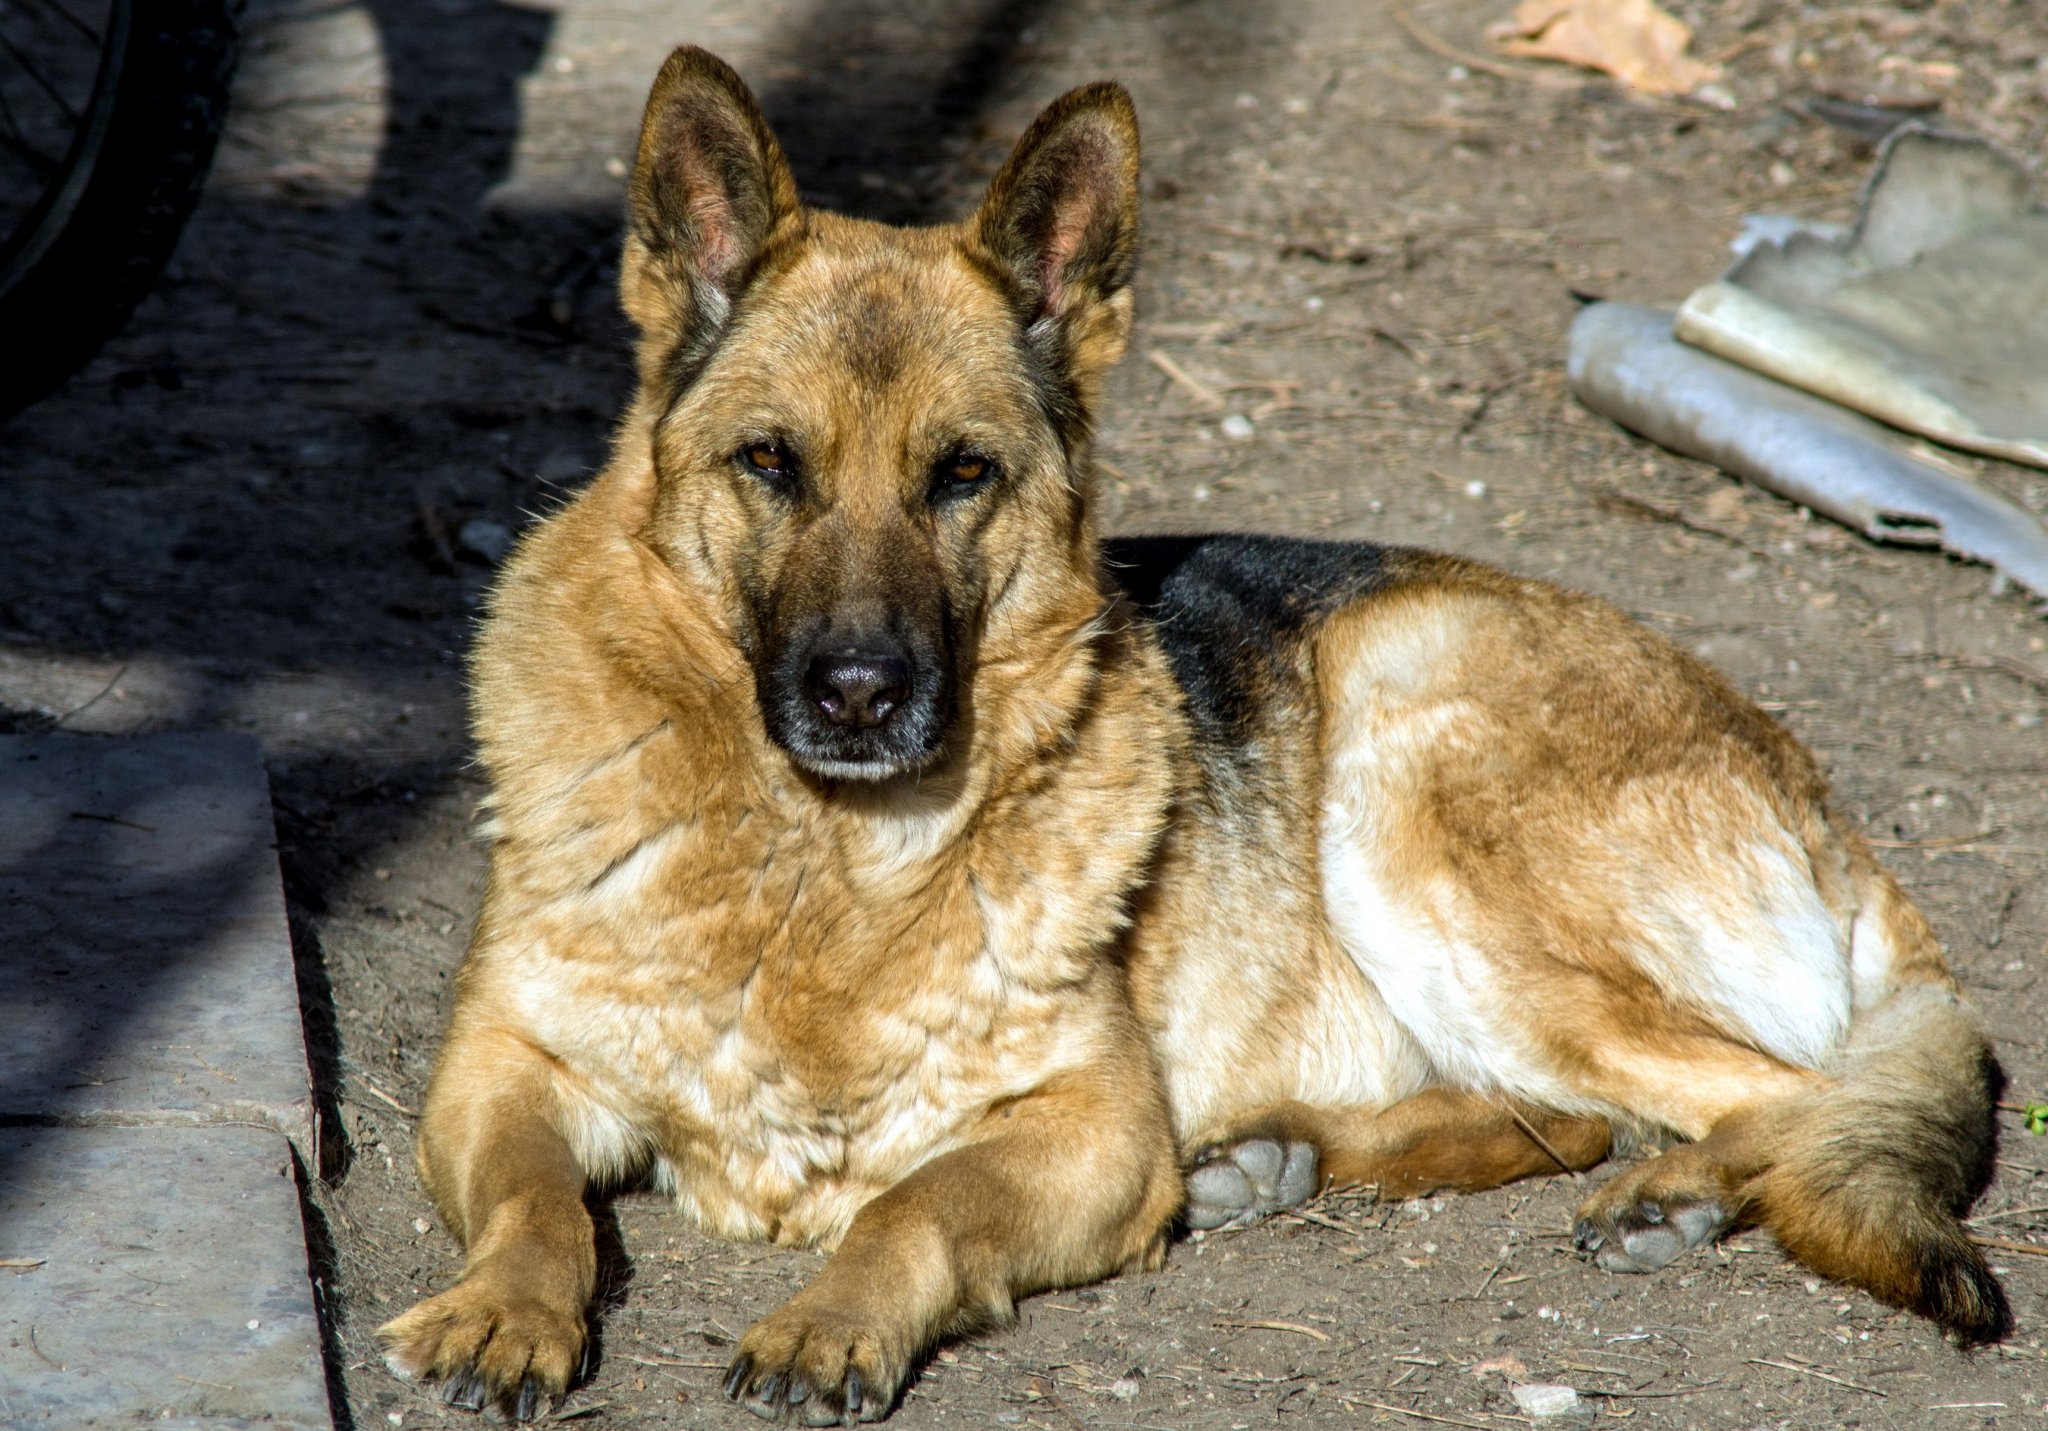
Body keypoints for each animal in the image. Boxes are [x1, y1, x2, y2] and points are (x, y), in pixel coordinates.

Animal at [376, 44, 2007, 1424]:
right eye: (769, 464)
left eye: (960, 475)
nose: (857, 691)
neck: (818, 862)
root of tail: (1812, 792)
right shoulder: (496, 1066)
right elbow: (532, 1200)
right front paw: (505, 1308)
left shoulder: (1096, 1129)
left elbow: (913, 1203)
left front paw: (831, 1316)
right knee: (1573, 1114)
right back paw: (1282, 1158)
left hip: (1404, 756)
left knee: (1797, 1093)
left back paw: (1669, 1191)